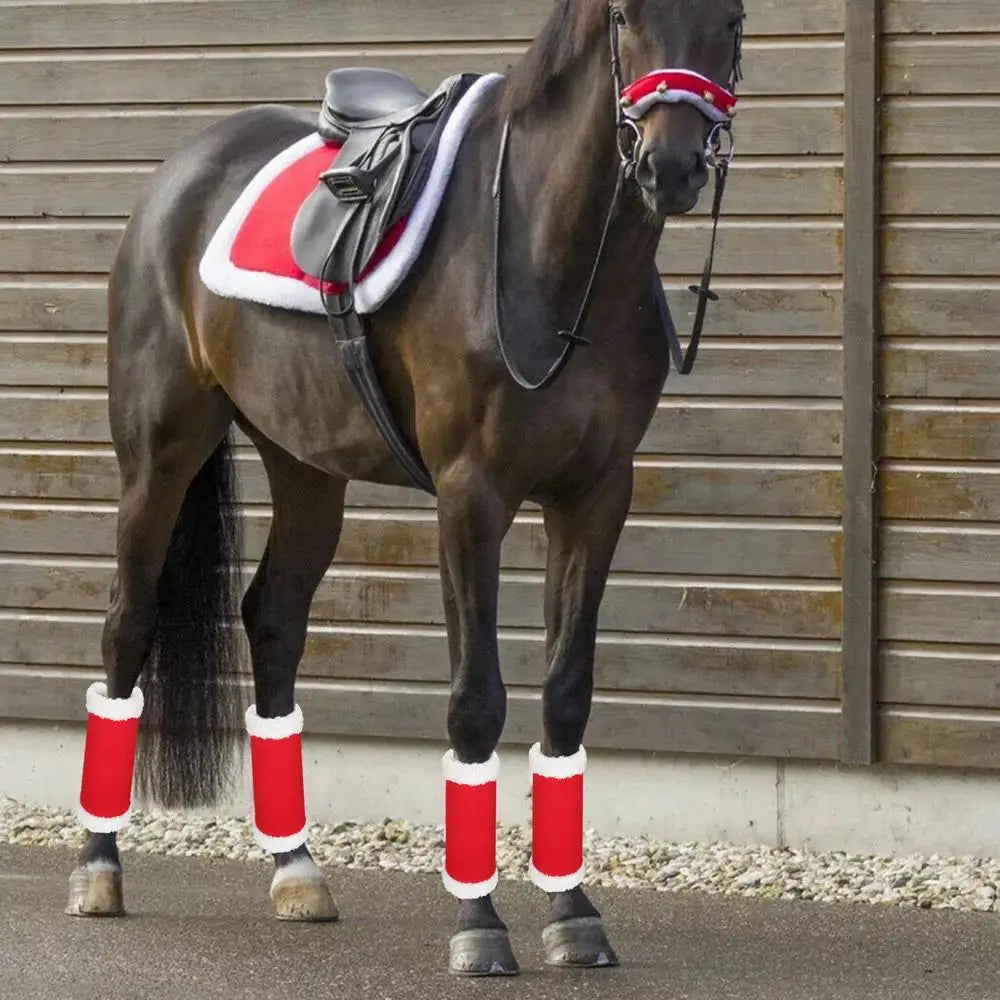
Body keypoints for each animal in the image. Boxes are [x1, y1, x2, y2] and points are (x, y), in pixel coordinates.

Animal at [66, 0, 745, 977]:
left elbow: (566, 694)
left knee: (274, 622)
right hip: (159, 453)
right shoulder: (472, 496)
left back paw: (297, 872)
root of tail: (179, 172)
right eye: (623, 15)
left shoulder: (596, 497)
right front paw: (479, 927)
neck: (549, 253)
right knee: (128, 625)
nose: (671, 164)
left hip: (306, 466)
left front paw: (575, 915)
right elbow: (476, 701)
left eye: (729, 18)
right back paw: (98, 869)